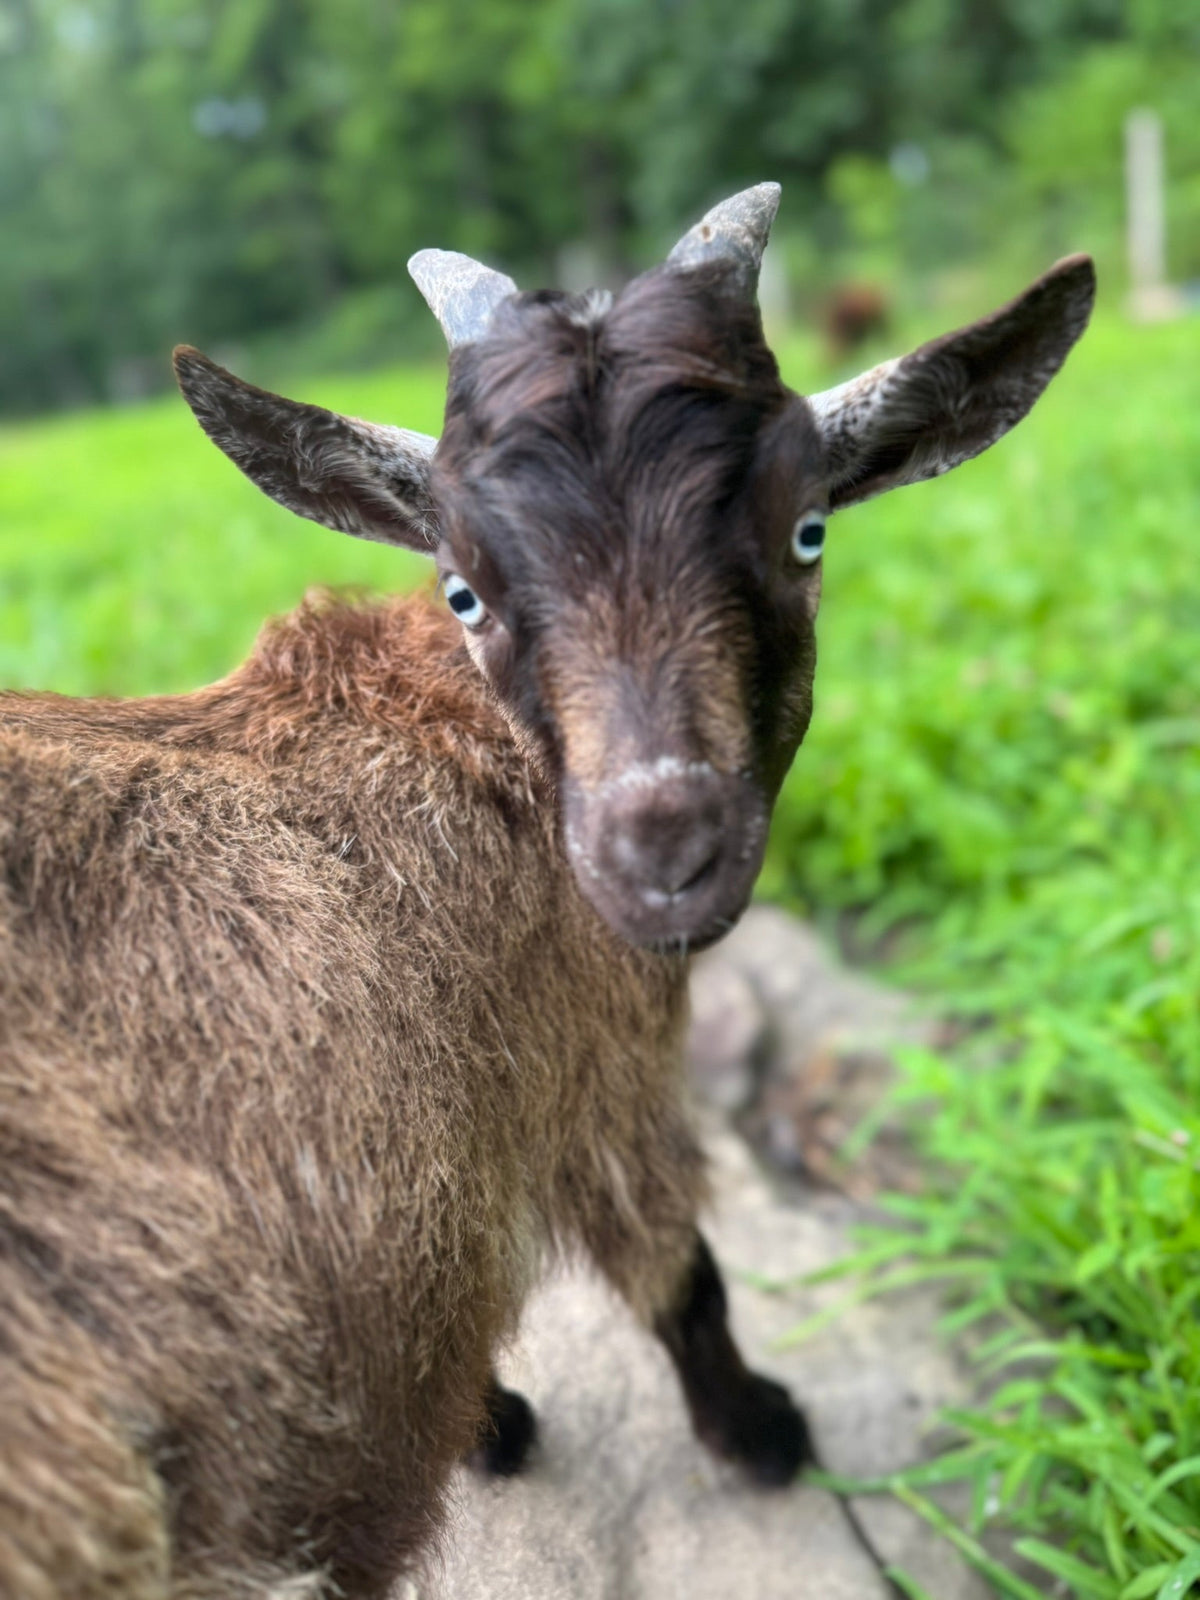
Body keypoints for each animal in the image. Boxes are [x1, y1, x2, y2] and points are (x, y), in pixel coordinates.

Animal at [0, 185, 1094, 1600]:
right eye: (464, 586)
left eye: (808, 529)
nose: (663, 856)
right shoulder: (599, 1078)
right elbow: (682, 1274)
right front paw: (758, 1436)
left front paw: (494, 1424)